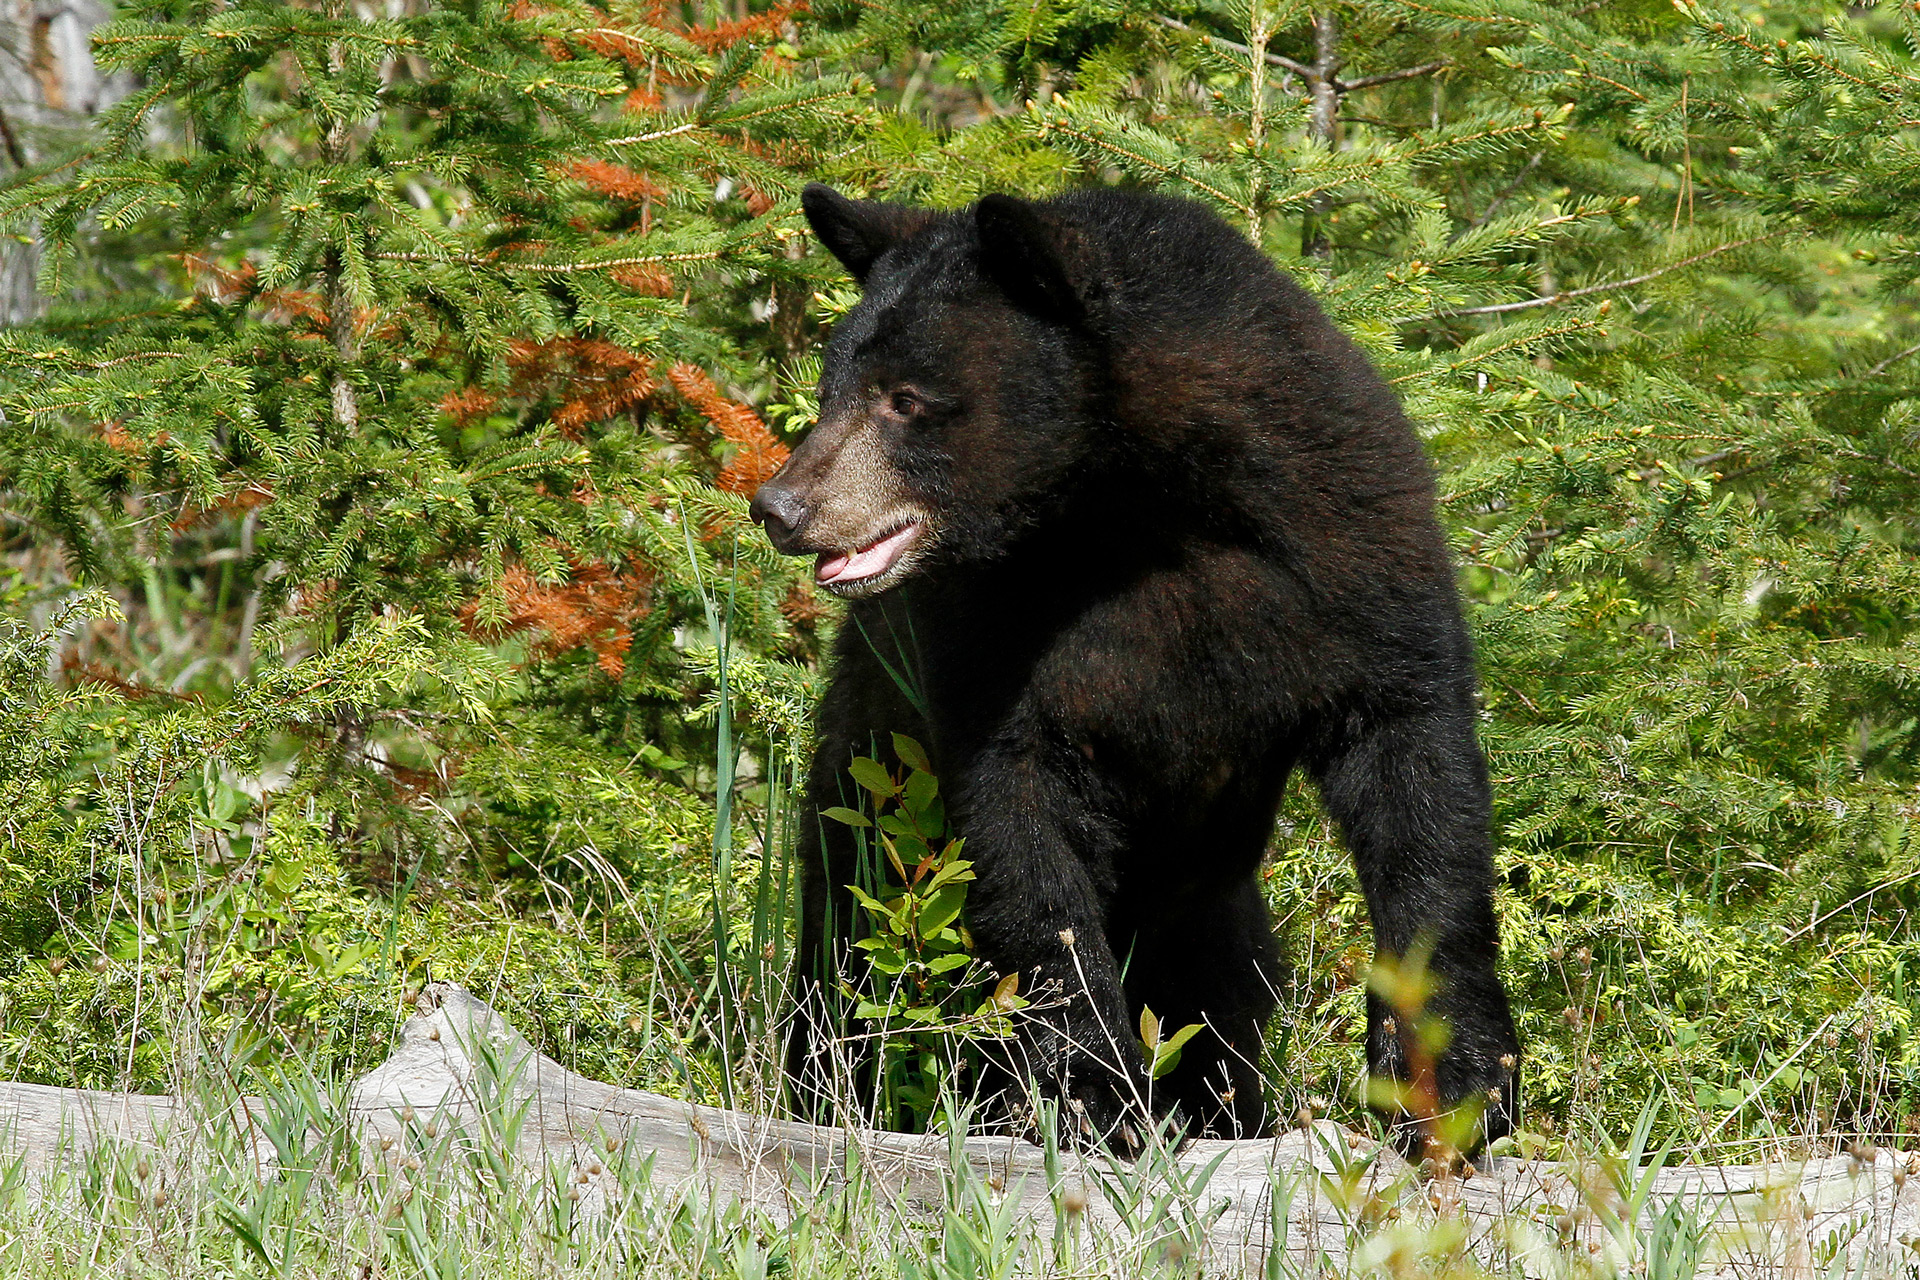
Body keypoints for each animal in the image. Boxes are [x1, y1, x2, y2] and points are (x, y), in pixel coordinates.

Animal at [748, 185, 1512, 1159]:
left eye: (906, 398)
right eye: (830, 389)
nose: (780, 505)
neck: (1136, 510)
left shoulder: (1347, 555)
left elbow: (1417, 779)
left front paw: (1456, 1081)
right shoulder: (989, 634)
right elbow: (1024, 830)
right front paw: (1100, 1099)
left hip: (1208, 909)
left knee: (1222, 997)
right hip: (871, 801)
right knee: (846, 958)